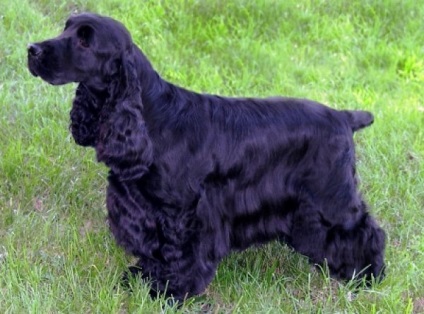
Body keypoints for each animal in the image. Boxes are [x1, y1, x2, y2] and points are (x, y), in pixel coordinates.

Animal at [25, 12, 384, 302]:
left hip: (330, 197)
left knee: (368, 231)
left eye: (85, 41)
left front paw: (169, 292)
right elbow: (154, 252)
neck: (152, 118)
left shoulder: (181, 212)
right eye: (66, 28)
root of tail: (344, 117)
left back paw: (368, 276)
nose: (32, 49)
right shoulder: (145, 209)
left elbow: (178, 254)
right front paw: (142, 278)